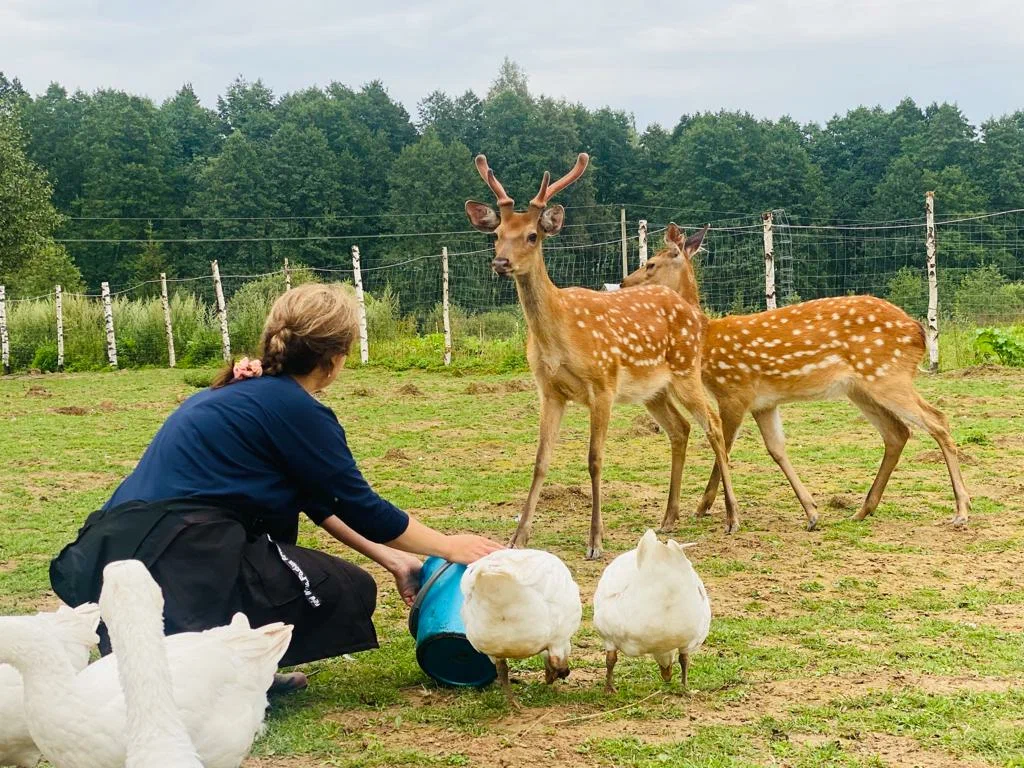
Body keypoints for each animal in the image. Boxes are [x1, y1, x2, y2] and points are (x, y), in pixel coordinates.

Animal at [466, 154, 745, 561]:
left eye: (533, 235)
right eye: (498, 233)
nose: (500, 262)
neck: (560, 335)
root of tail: (697, 314)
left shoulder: (602, 384)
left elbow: (595, 459)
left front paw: (595, 541)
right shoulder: (550, 391)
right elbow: (540, 460)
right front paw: (518, 537)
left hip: (685, 370)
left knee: (712, 422)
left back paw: (731, 516)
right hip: (653, 390)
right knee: (680, 428)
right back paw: (669, 518)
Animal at [618, 225, 970, 532]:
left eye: (650, 263)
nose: (622, 283)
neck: (706, 338)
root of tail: (919, 330)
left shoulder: (734, 390)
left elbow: (725, 448)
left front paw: (704, 507)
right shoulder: (764, 402)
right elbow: (776, 449)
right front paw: (811, 512)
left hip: (888, 375)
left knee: (937, 420)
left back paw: (961, 511)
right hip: (861, 388)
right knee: (897, 432)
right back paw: (862, 509)